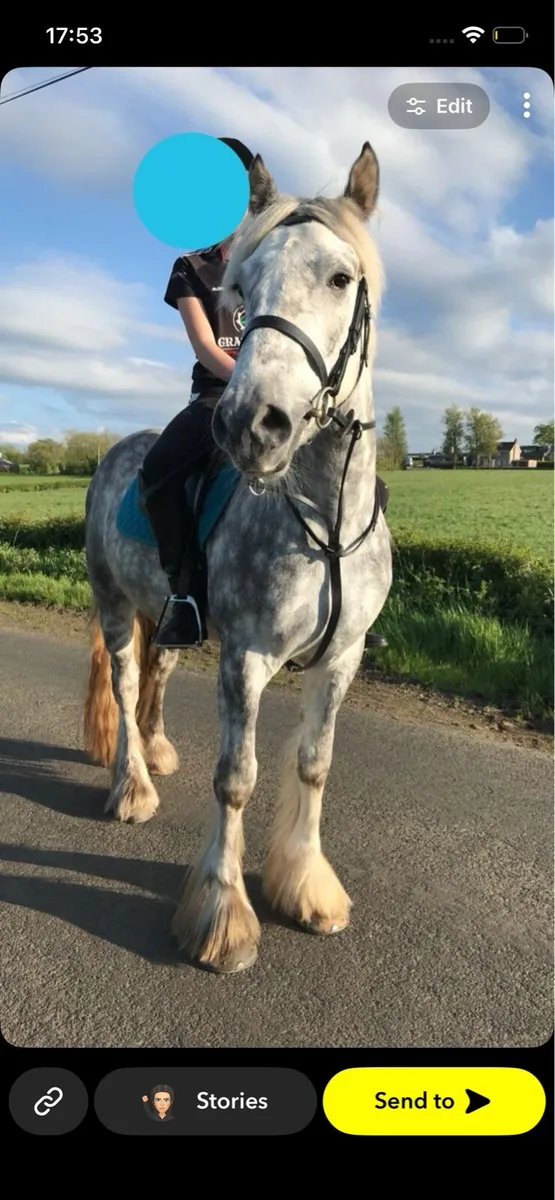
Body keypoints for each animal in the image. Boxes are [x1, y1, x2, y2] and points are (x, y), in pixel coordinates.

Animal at [83, 142, 393, 975]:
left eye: (341, 278)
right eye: (242, 294)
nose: (254, 423)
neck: (324, 519)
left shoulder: (341, 657)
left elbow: (312, 764)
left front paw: (307, 891)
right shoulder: (245, 656)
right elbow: (237, 778)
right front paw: (224, 920)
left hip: (166, 612)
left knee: (157, 672)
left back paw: (156, 752)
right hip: (114, 604)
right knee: (126, 682)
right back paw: (132, 787)